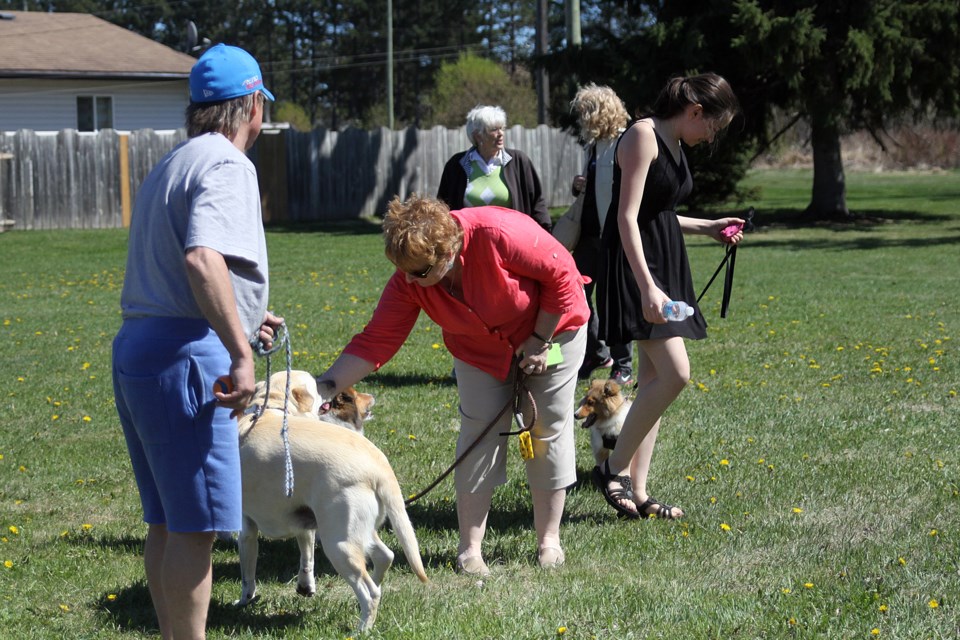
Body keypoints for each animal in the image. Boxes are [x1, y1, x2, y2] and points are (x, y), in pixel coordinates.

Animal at [234, 370, 426, 636]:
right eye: (316, 385)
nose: (330, 381)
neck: (271, 407)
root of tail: (379, 464)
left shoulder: (246, 529)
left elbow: (247, 574)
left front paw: (245, 600)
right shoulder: (304, 525)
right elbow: (306, 559)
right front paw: (305, 587)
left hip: (338, 545)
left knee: (370, 592)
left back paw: (361, 629)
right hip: (355, 532)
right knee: (385, 557)